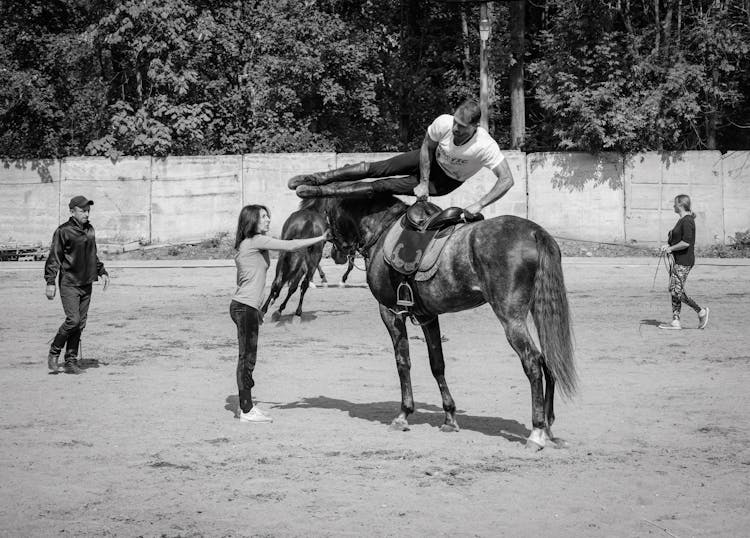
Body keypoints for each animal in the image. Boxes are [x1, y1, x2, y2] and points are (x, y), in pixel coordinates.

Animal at [324, 194, 580, 448]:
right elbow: (437, 364)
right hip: (538, 309)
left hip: (511, 317)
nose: (334, 252)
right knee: (549, 358)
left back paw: (536, 431)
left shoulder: (391, 312)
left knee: (533, 361)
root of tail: (535, 232)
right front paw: (449, 417)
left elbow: (403, 362)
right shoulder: (427, 317)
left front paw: (404, 414)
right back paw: (547, 426)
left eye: (327, 215)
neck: (383, 230)